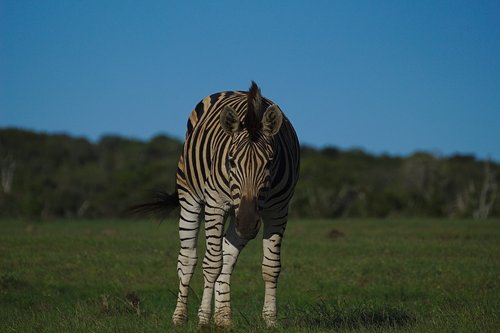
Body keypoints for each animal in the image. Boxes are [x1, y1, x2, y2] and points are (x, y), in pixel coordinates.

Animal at [136, 81, 296, 326]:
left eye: (269, 163)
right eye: (231, 161)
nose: (247, 225)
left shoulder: (278, 210)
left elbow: (270, 267)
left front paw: (270, 321)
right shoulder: (216, 205)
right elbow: (211, 264)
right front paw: (203, 320)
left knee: (227, 259)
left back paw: (223, 318)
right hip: (191, 199)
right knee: (188, 260)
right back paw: (180, 317)